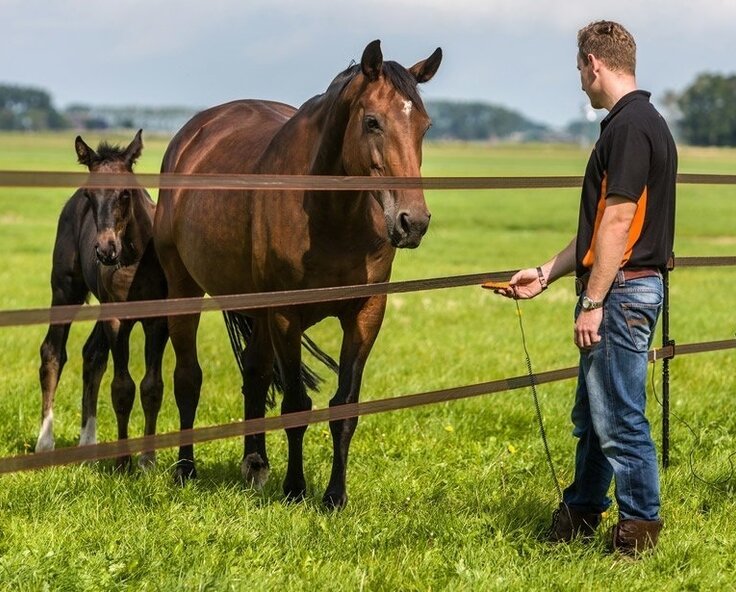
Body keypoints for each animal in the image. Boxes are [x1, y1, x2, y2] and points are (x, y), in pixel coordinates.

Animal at [36, 130, 168, 469]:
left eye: (125, 194)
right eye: (89, 196)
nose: (106, 250)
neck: (137, 260)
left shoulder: (158, 320)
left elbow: (152, 386)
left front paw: (147, 460)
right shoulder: (117, 318)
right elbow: (122, 387)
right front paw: (123, 462)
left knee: (92, 354)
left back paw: (88, 443)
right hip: (65, 290)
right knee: (52, 352)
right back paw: (45, 443)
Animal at [154, 40, 441, 508]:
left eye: (424, 126)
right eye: (372, 122)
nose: (412, 222)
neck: (332, 214)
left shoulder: (366, 313)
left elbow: (344, 407)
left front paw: (334, 497)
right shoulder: (286, 315)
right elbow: (294, 405)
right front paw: (294, 489)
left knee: (253, 375)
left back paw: (254, 464)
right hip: (184, 289)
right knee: (188, 379)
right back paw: (185, 469)